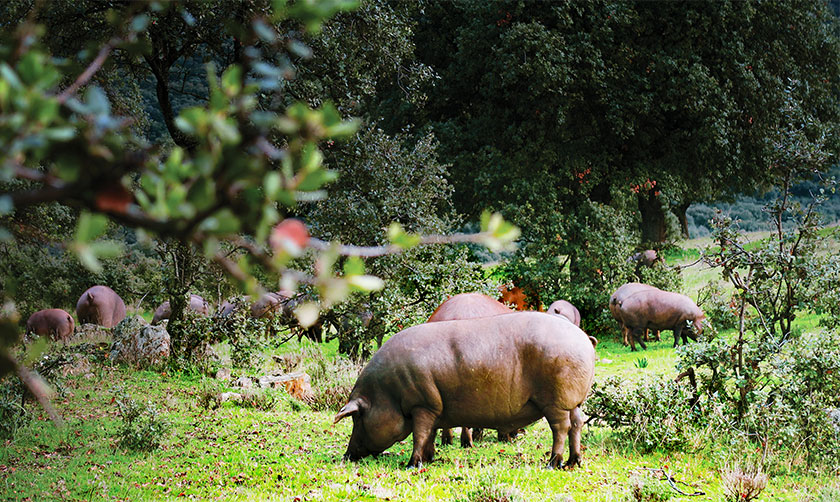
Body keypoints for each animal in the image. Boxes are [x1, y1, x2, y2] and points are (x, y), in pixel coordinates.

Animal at [334, 312, 596, 468]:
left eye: (357, 417)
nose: (347, 456)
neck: (388, 393)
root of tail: (583, 339)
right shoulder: (434, 407)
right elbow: (429, 434)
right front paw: (430, 459)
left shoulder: (422, 404)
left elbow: (419, 434)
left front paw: (412, 464)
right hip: (575, 401)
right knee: (577, 424)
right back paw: (575, 462)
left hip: (556, 400)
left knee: (561, 427)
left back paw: (553, 463)